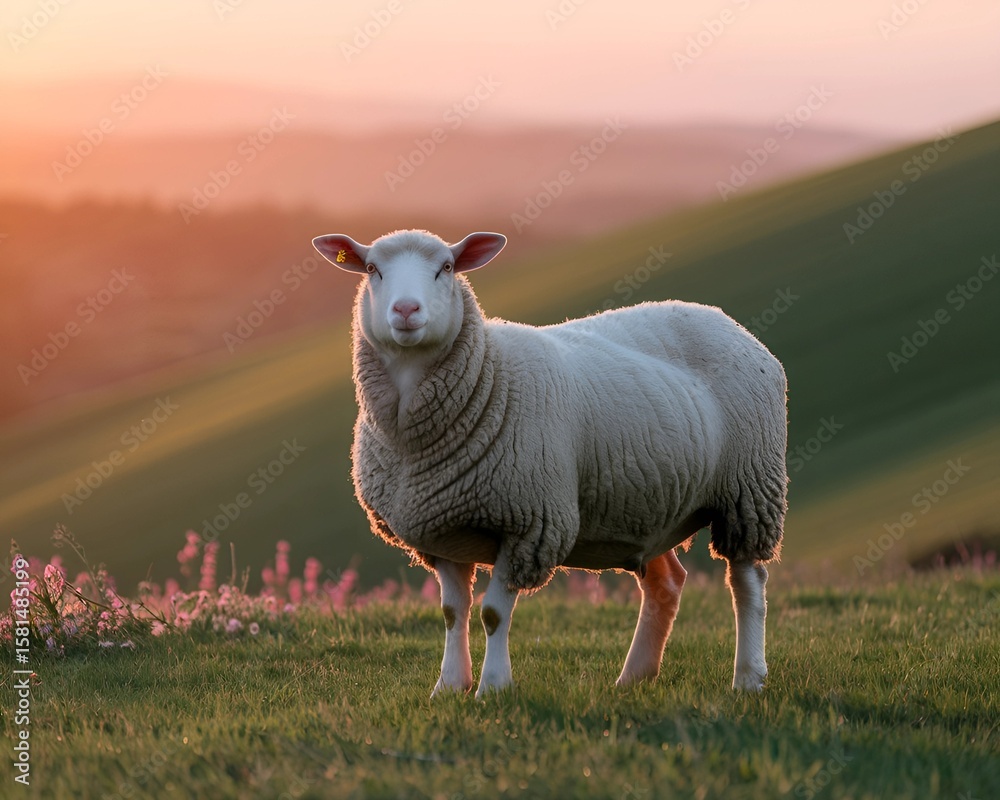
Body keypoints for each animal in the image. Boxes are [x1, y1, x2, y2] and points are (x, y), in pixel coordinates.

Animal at [313, 228, 787, 698]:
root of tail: (728, 323)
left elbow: (492, 614)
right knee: (666, 582)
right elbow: (452, 612)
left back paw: (748, 678)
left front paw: (492, 688)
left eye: (446, 267)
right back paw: (634, 677)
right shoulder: (441, 529)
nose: (406, 310)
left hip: (749, 491)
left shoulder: (528, 526)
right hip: (647, 500)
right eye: (372, 268)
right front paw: (448, 687)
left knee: (747, 584)